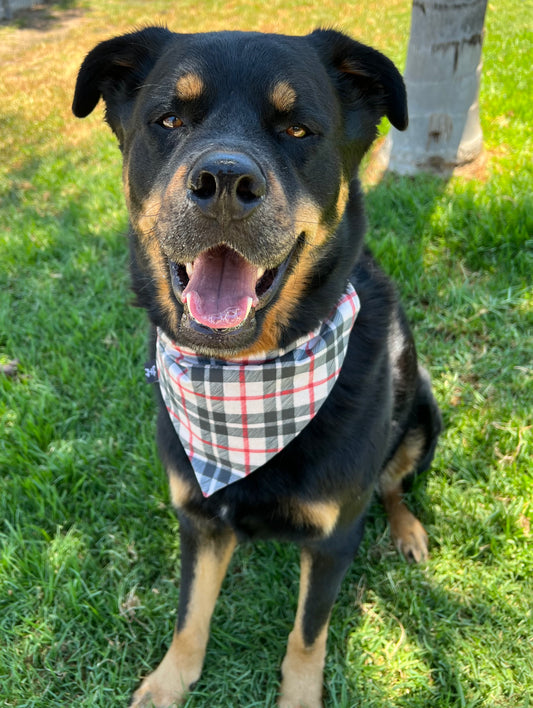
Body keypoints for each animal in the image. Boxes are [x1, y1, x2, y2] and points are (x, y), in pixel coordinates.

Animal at [74, 27, 440, 708]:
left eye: (297, 129)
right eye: (169, 119)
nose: (223, 180)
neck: (244, 377)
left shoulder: (332, 540)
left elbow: (307, 636)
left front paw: (298, 696)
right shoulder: (198, 518)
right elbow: (190, 616)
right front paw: (169, 682)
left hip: (425, 415)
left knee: (392, 484)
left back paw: (407, 530)